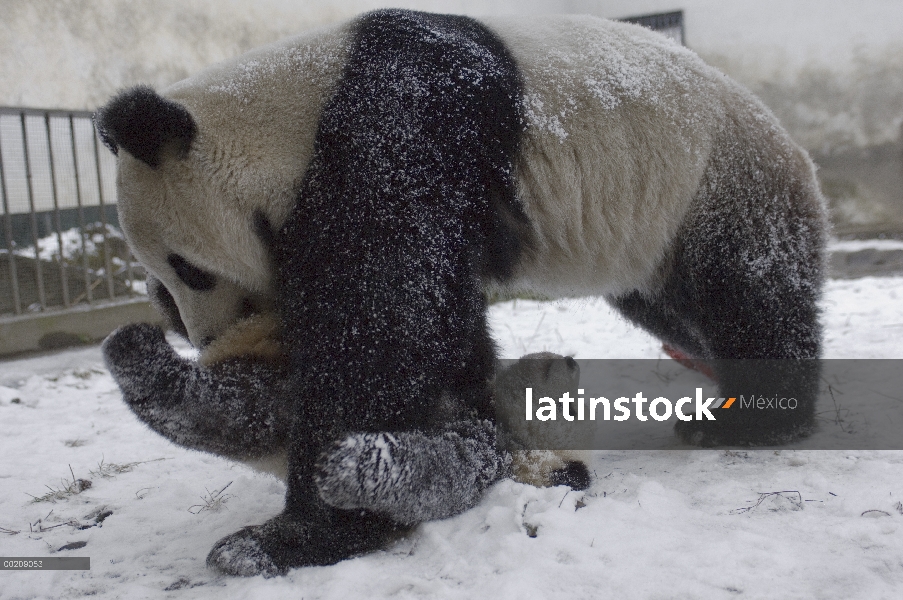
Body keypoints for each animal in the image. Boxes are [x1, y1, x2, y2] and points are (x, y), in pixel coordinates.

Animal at [95, 8, 828, 576]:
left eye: (189, 269)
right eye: (162, 290)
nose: (210, 338)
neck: (287, 116)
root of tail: (790, 143)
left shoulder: (395, 133)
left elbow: (389, 321)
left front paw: (297, 534)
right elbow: (441, 329)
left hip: (716, 180)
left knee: (749, 290)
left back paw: (752, 417)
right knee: (675, 309)